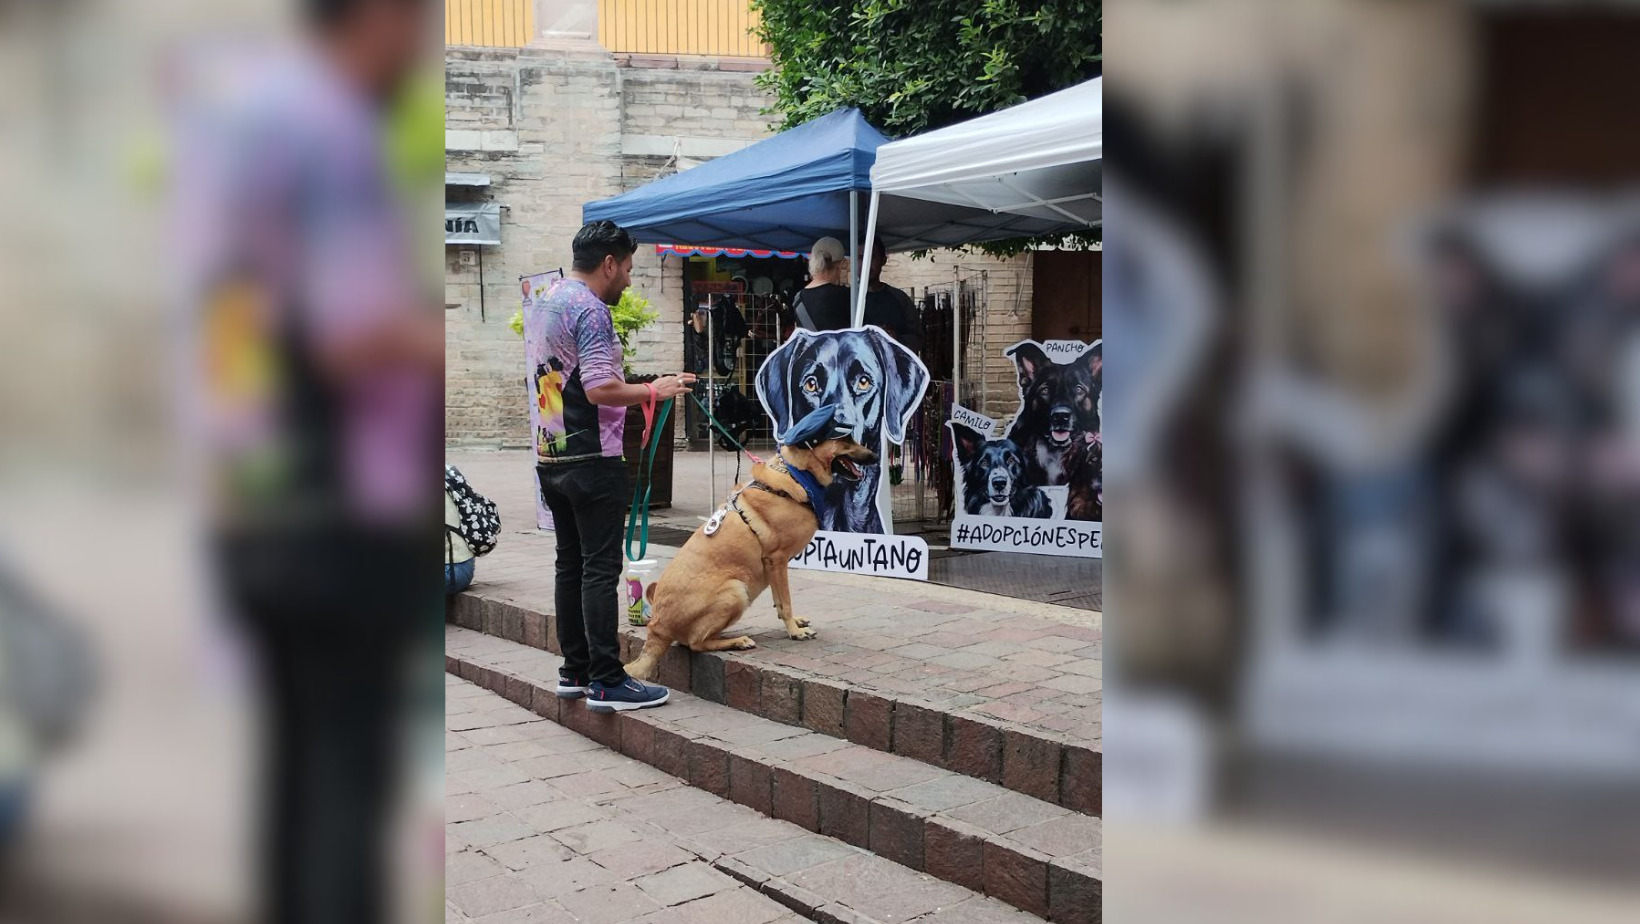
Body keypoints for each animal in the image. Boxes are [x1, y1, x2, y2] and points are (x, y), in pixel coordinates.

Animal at [623, 405, 879, 679]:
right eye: (845, 439)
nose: (875, 456)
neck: (797, 476)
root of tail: (657, 628)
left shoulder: (775, 567)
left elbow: (779, 599)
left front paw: (793, 623)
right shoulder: (777, 561)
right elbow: (786, 602)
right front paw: (794, 631)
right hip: (737, 590)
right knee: (695, 643)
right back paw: (737, 641)